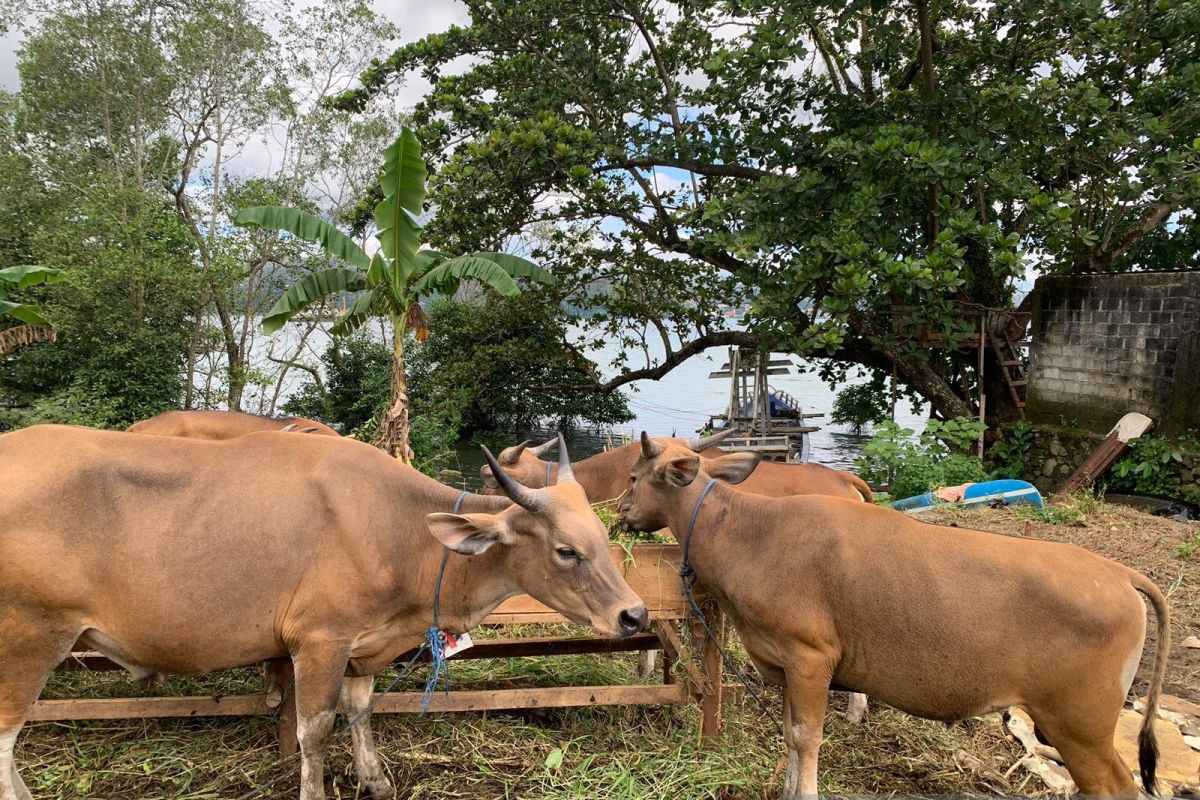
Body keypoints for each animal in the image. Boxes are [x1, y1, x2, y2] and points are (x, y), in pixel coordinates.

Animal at [0, 429, 648, 800]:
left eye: (600, 535)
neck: (397, 530)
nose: (634, 615)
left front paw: (376, 779)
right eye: (565, 550)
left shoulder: (365, 644)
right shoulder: (319, 641)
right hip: (31, 636)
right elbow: (314, 731)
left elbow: (360, 711)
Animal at [619, 434, 1171, 796]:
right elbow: (792, 737)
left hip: (1081, 724)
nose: (621, 511)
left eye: (634, 477)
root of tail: (1119, 572)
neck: (751, 532)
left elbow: (807, 738)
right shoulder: (785, 666)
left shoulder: (811, 658)